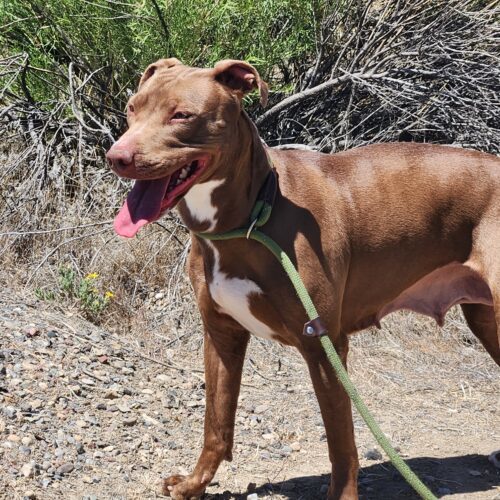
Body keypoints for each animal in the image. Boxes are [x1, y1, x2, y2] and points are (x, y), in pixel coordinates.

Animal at [107, 59, 498, 500]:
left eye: (181, 115)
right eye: (133, 108)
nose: (116, 157)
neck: (254, 215)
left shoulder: (324, 345)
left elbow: (341, 443)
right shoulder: (221, 334)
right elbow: (216, 425)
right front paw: (194, 485)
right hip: (485, 318)